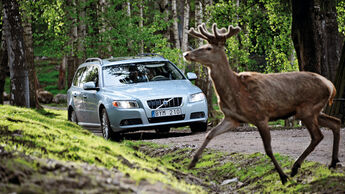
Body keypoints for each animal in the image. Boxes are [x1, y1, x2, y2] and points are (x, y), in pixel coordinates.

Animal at [184, 23, 340, 184]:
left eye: (208, 48)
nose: (186, 54)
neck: (235, 90)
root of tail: (330, 86)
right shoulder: (232, 118)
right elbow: (210, 134)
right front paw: (192, 162)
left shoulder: (260, 116)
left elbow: (268, 149)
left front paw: (282, 177)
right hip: (314, 111)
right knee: (336, 122)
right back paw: (332, 162)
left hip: (307, 109)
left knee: (318, 136)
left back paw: (295, 168)